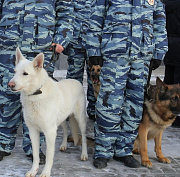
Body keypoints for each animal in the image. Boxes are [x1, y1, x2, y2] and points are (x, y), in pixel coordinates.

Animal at [8, 47, 88, 177]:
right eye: (14, 72)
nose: (10, 84)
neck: (36, 95)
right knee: (65, 131)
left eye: (25, 74)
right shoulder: (33, 131)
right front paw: (33, 171)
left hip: (80, 120)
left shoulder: (50, 132)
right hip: (61, 120)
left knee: (84, 138)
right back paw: (64, 145)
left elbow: (49, 157)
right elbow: (35, 155)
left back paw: (84, 154)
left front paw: (45, 172)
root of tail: (76, 81)